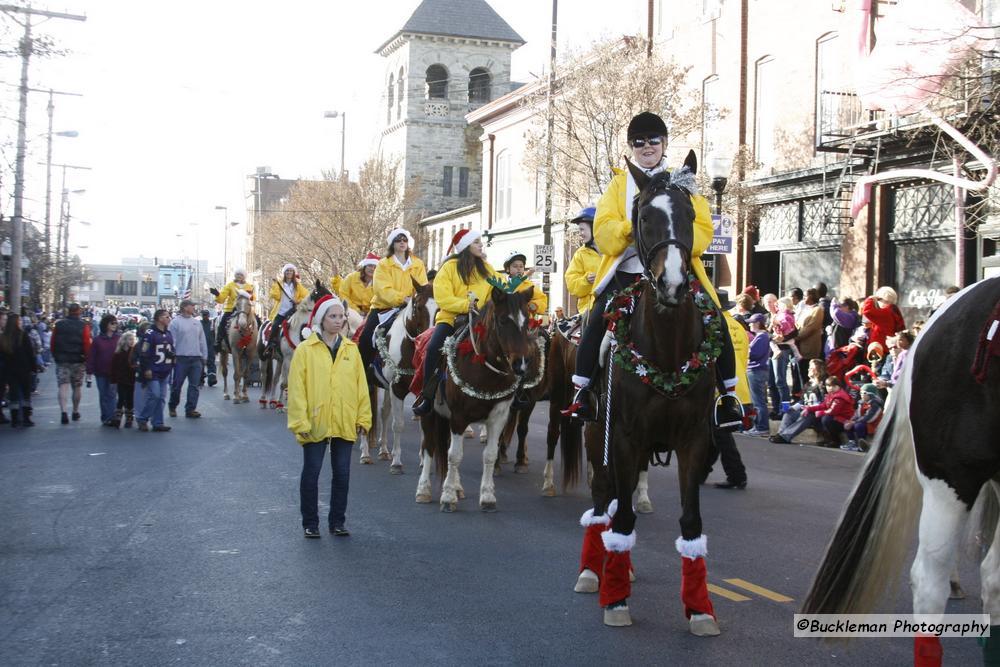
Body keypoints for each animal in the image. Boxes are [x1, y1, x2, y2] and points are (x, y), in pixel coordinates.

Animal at [418, 286, 552, 512]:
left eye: (527, 321)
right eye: (503, 320)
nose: (521, 365)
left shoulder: (498, 417)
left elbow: (489, 455)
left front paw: (488, 497)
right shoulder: (459, 418)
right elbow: (454, 455)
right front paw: (448, 498)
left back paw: (457, 488)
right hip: (430, 413)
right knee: (429, 447)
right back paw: (424, 490)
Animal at [576, 153, 724, 636]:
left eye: (691, 214)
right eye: (643, 217)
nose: (673, 284)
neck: (666, 350)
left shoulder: (694, 440)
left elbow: (691, 523)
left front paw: (700, 608)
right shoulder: (622, 437)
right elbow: (620, 516)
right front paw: (616, 599)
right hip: (596, 435)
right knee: (603, 500)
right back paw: (594, 571)